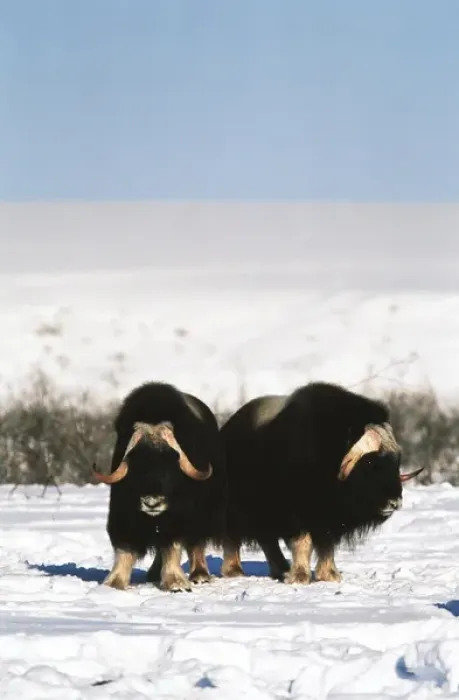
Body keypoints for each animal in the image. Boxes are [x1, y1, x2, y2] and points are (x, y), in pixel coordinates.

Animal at [92, 382, 226, 592]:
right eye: (135, 461)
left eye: (172, 460)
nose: (152, 502)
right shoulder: (122, 515)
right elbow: (124, 549)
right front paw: (113, 584)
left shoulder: (178, 516)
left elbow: (172, 546)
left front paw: (176, 584)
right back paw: (153, 574)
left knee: (195, 544)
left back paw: (200, 575)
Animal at [220, 381, 422, 585]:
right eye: (370, 462)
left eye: (396, 462)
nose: (395, 503)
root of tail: (226, 429)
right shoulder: (297, 512)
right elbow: (303, 541)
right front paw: (300, 577)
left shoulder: (327, 517)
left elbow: (327, 545)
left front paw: (330, 575)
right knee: (234, 538)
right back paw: (235, 571)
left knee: (267, 541)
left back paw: (282, 570)